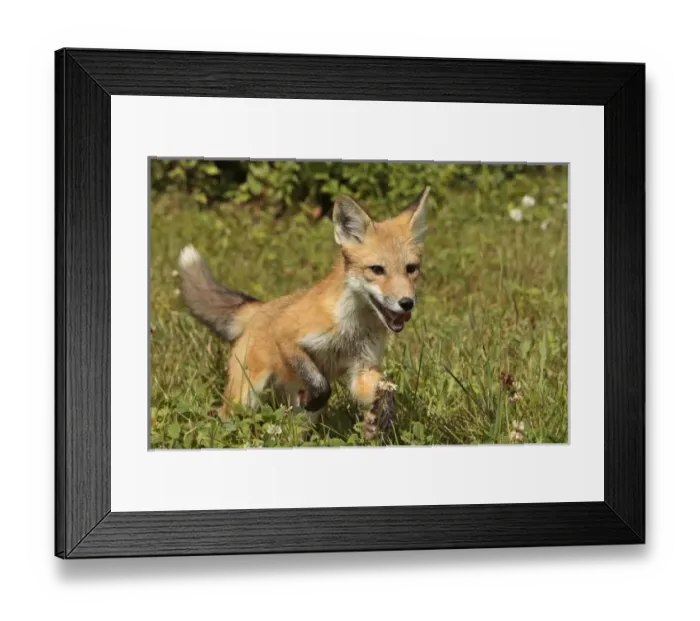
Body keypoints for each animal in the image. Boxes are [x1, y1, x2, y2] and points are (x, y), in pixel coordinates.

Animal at [177, 185, 431, 441]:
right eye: (377, 270)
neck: (352, 327)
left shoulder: (362, 367)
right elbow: (322, 385)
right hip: (245, 395)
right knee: (224, 415)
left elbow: (387, 391)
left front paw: (377, 422)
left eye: (411, 269)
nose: (407, 303)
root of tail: (261, 307)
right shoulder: (288, 335)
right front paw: (319, 397)